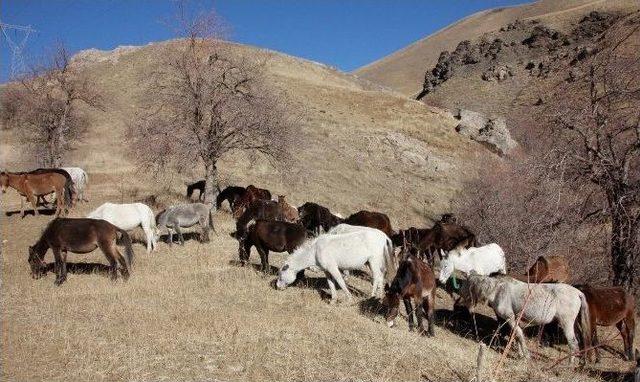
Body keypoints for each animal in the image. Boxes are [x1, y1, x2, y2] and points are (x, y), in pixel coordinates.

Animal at [458, 274, 592, 362]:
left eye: (464, 284)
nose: (459, 293)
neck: (497, 290)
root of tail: (578, 293)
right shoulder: (516, 318)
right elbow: (516, 335)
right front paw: (520, 354)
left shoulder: (510, 317)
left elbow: (519, 335)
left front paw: (526, 356)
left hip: (566, 323)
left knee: (573, 343)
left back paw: (569, 365)